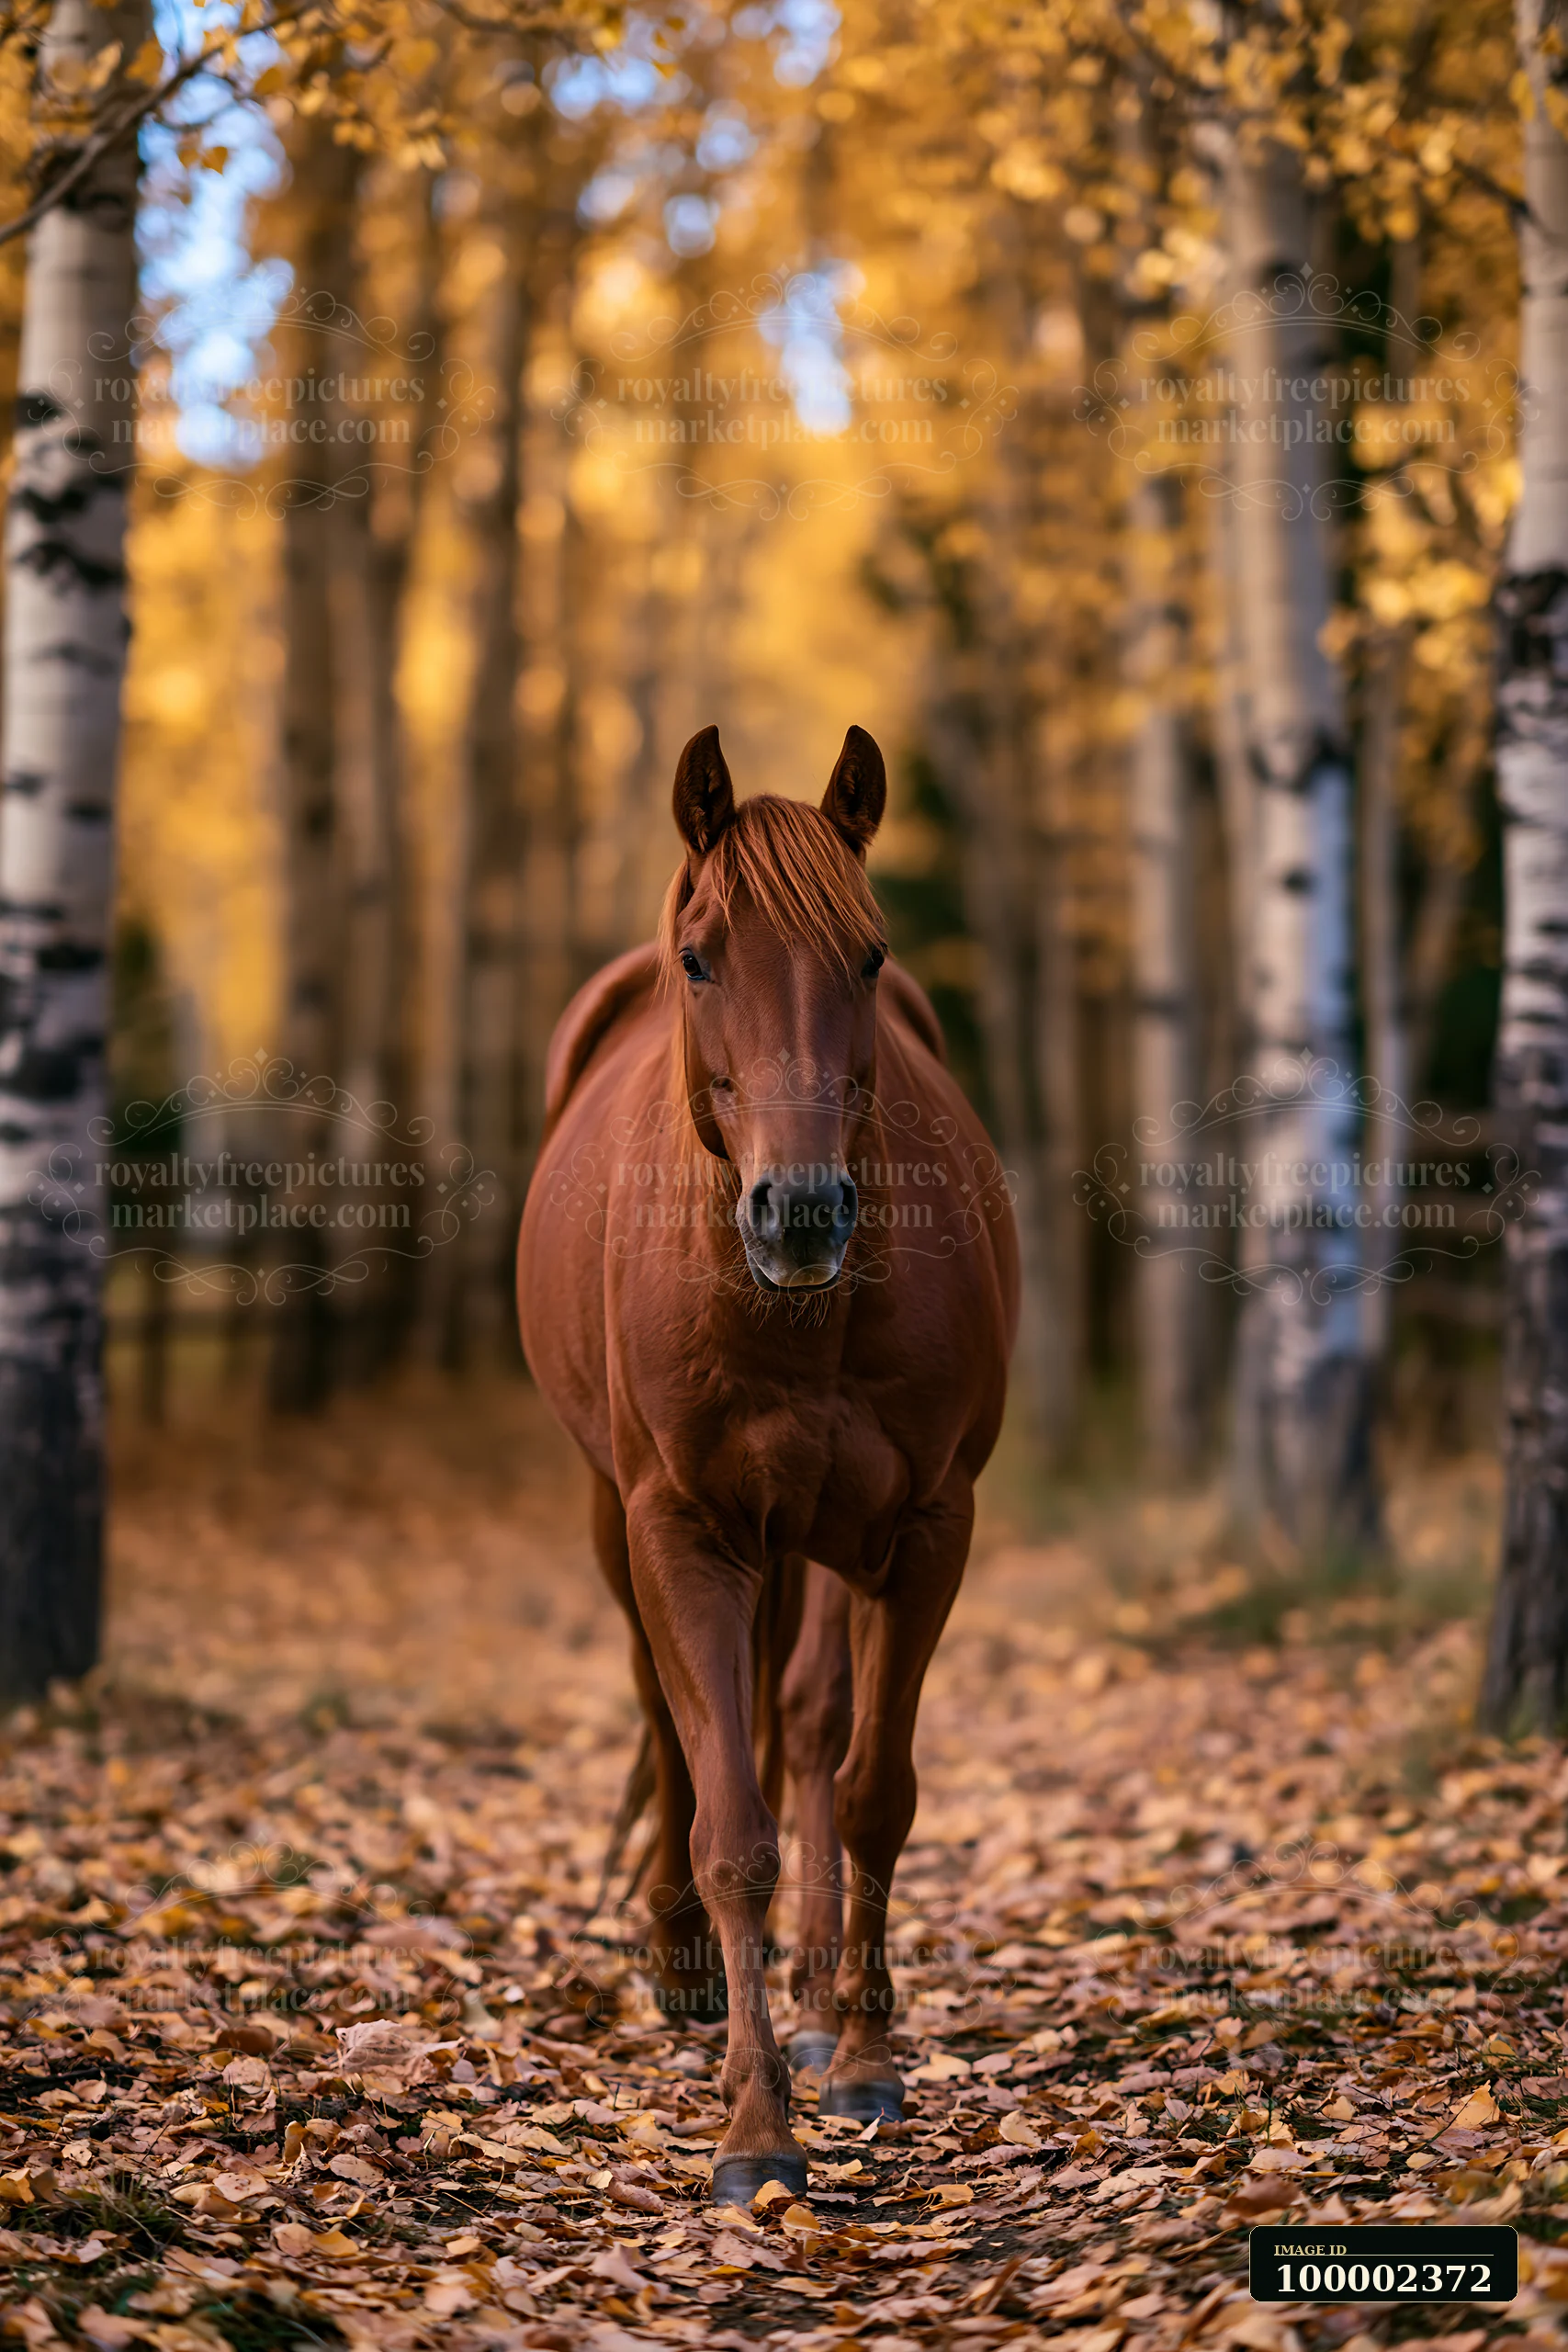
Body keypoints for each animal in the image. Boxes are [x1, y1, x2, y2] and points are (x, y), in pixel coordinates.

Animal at [517, 722, 1018, 2204]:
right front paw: (751, 2132)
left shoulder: (926, 1530)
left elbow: (869, 1796)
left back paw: (805, 2008)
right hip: (620, 1520)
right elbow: (729, 1827)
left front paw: (856, 2058)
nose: (799, 1213)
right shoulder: (681, 1529)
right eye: (701, 958)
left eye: (867, 955)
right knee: (669, 1720)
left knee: (806, 1728)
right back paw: (687, 1969)